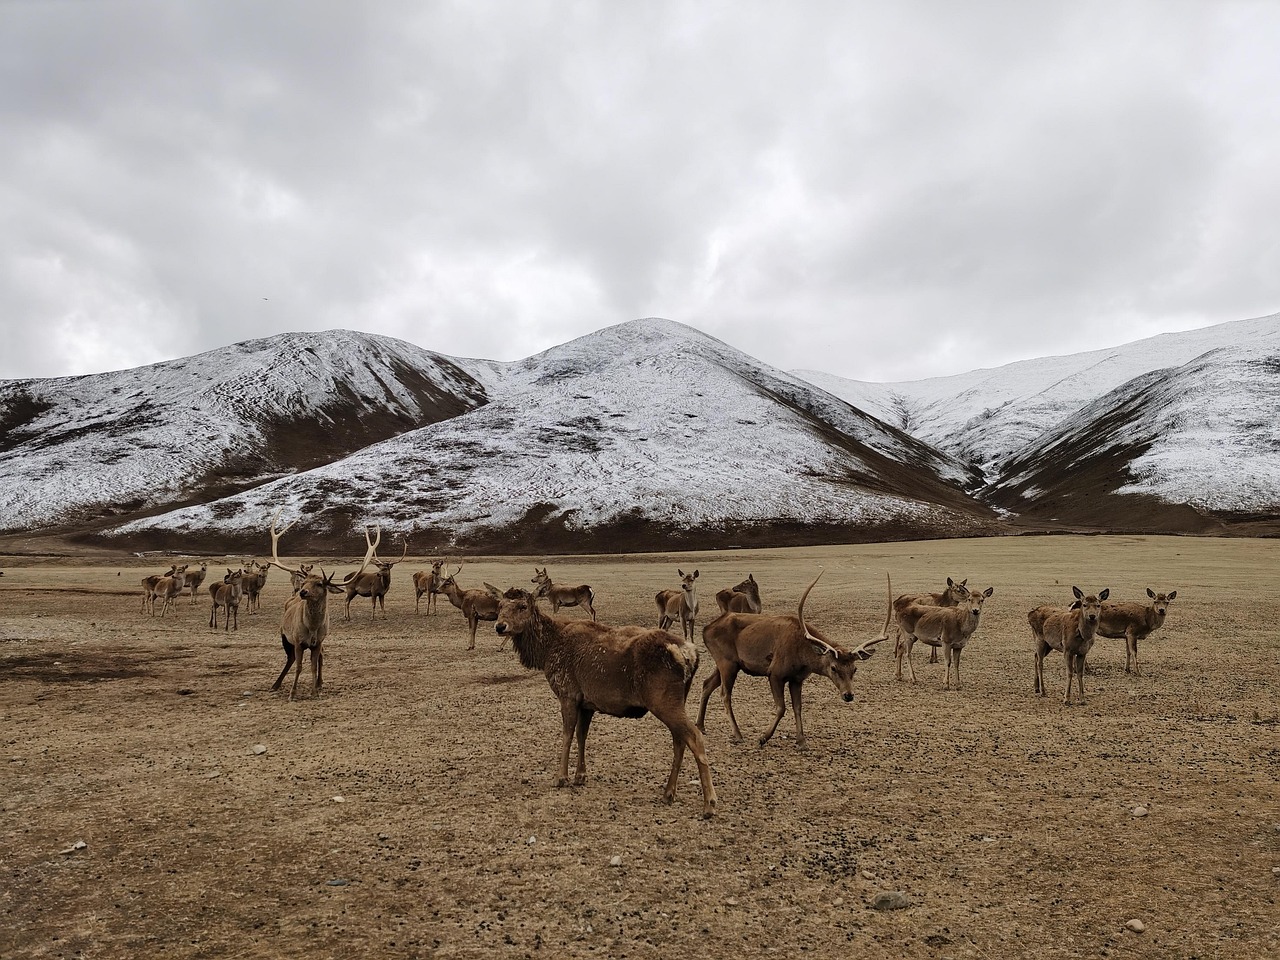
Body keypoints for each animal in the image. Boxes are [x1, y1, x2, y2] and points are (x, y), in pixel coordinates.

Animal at [263, 509, 358, 700]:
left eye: (320, 584)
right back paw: (276, 684)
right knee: (290, 659)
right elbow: (299, 666)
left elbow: (314, 664)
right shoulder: (298, 641)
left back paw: (319, 683)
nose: (302, 592)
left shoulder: (318, 642)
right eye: (305, 581)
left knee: (320, 656)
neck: (312, 627)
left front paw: (314, 691)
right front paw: (292, 693)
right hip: (285, 637)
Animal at [489, 583, 717, 817]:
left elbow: (567, 734)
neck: (546, 652)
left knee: (695, 737)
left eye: (522, 606)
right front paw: (580, 776)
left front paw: (561, 777)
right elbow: (582, 735)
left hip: (663, 700)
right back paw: (668, 793)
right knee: (679, 740)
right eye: (500, 605)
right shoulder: (587, 702)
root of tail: (690, 654)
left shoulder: (567, 693)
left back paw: (709, 803)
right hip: (678, 699)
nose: (500, 626)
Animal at [697, 570, 889, 749]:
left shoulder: (797, 679)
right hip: (727, 663)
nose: (848, 695)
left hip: (727, 663)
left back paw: (700, 725)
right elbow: (781, 708)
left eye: (854, 669)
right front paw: (763, 737)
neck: (803, 658)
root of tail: (705, 629)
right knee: (725, 694)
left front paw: (802, 740)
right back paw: (737, 734)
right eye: (833, 667)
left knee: (707, 684)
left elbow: (798, 708)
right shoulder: (775, 673)